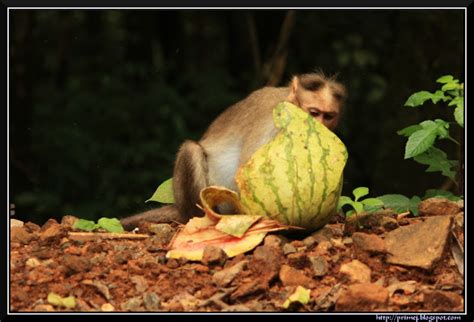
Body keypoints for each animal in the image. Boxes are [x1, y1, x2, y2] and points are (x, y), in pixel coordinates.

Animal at [120, 71, 346, 230]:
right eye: (314, 113)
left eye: (328, 116)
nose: (320, 127)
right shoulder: (274, 121)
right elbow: (244, 174)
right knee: (191, 150)